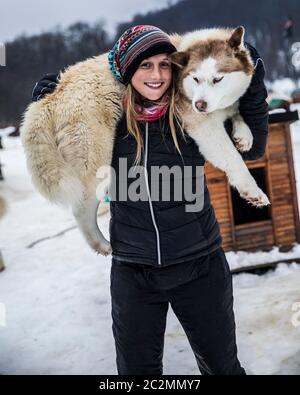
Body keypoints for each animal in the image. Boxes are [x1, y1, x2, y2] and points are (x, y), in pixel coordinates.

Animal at [20, 27, 270, 256]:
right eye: (196, 78)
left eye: (218, 79)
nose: (200, 105)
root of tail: (52, 97)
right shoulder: (204, 127)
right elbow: (233, 159)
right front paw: (252, 191)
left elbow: (237, 114)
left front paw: (243, 135)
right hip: (96, 162)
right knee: (81, 209)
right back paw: (101, 243)